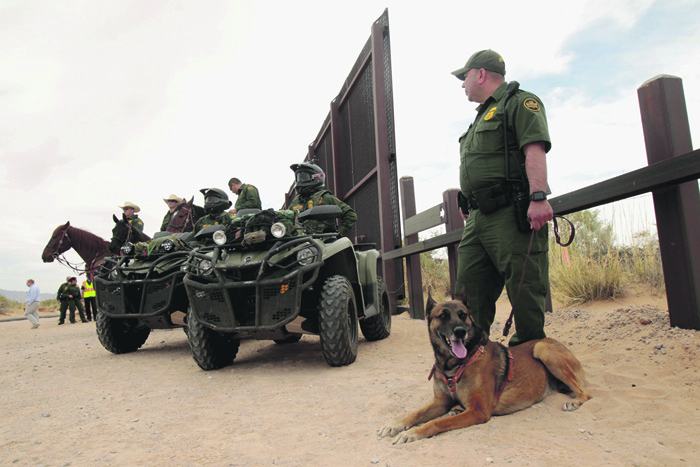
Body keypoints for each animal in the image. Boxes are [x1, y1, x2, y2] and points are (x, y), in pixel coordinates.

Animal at [378, 294, 592, 444]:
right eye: (443, 316)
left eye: (463, 315)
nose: (460, 331)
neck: (454, 365)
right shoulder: (440, 402)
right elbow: (415, 414)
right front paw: (394, 424)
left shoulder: (478, 411)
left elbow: (436, 422)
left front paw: (413, 433)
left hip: (542, 349)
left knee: (586, 393)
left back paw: (575, 401)